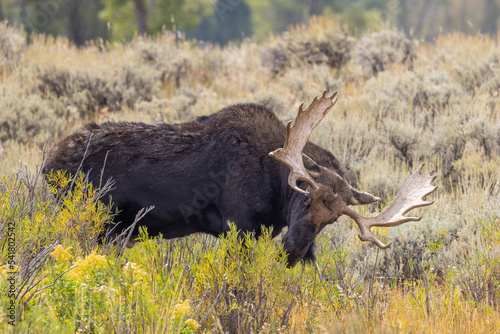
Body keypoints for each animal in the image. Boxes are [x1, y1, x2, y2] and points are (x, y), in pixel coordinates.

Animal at [43, 91, 436, 266]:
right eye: (305, 196)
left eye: (333, 220)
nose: (294, 250)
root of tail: (48, 164)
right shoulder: (239, 227)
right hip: (92, 220)